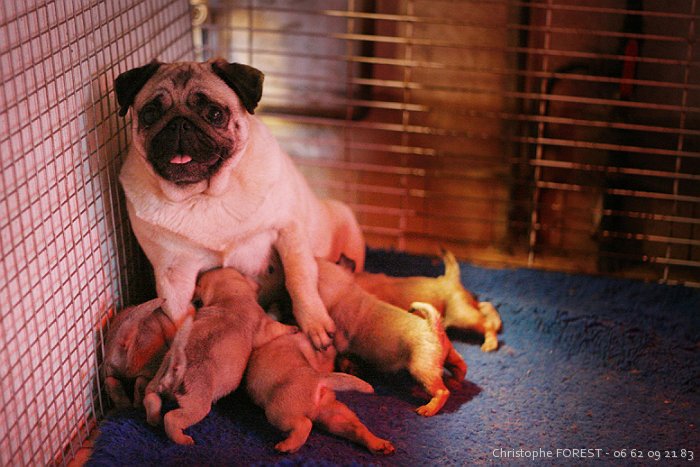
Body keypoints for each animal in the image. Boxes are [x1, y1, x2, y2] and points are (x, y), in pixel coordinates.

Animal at [115, 59, 366, 352]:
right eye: (150, 114)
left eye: (214, 114)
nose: (179, 124)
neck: (204, 196)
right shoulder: (173, 273)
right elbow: (179, 315)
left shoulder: (288, 232)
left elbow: (300, 279)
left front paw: (314, 323)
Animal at [142, 268, 296, 444]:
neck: (230, 298)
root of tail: (174, 369)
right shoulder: (263, 325)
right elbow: (276, 327)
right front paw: (292, 328)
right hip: (196, 404)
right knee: (172, 418)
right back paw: (183, 439)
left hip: (155, 383)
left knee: (151, 398)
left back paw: (154, 419)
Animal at [245, 330, 394, 456]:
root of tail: (319, 378)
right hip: (332, 416)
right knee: (357, 427)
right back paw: (379, 444)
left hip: (278, 410)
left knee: (305, 424)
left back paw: (287, 446)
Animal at [316, 260, 464, 416]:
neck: (346, 293)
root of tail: (432, 325)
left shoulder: (341, 344)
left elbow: (342, 358)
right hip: (448, 354)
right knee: (460, 365)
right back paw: (456, 381)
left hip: (422, 369)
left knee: (442, 391)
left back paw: (429, 408)